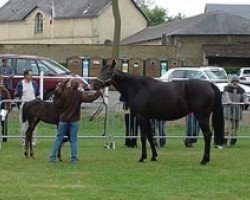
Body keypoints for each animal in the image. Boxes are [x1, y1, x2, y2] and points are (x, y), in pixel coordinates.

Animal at [94, 60, 225, 165]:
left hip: (202, 116)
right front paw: (153, 156)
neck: (137, 87)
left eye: (108, 73)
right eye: (101, 71)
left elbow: (143, 137)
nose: (95, 84)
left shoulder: (141, 116)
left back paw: (204, 160)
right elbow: (150, 136)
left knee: (207, 134)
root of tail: (209, 84)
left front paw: (142, 157)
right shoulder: (148, 117)